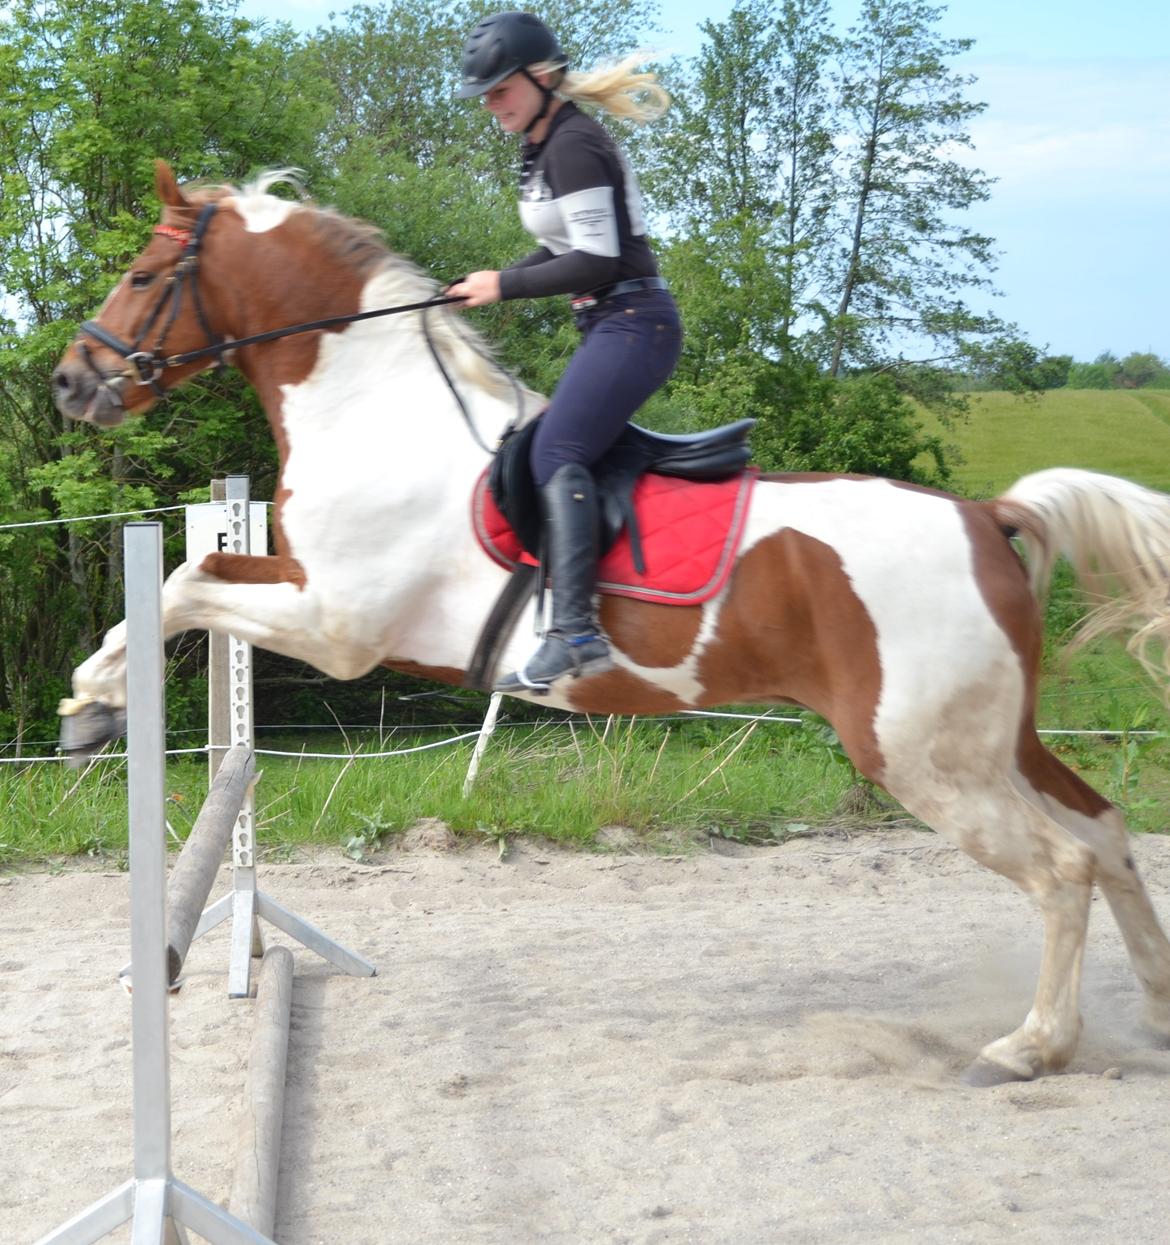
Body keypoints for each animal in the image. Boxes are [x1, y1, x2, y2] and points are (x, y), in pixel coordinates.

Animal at [50, 160, 1170, 1085]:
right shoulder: (306, 587)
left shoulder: (338, 625)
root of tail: (985, 514)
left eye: (143, 275)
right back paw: (1156, 1010)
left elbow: (185, 583)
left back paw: (1030, 1046)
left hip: (923, 758)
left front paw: (91, 705)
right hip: (994, 743)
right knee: (1108, 832)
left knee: (1063, 868)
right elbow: (193, 572)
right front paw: (93, 704)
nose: (71, 381)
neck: (376, 413)